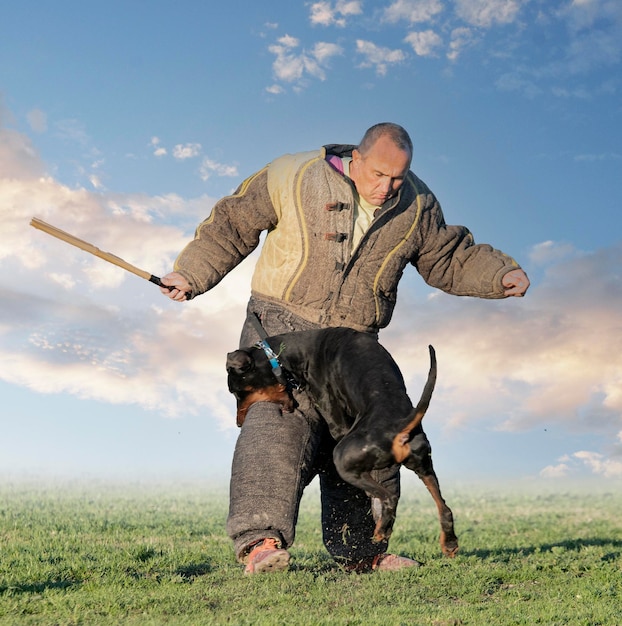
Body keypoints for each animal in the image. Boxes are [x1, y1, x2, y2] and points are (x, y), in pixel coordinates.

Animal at [227, 324, 460, 552]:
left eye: (238, 393)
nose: (238, 423)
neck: (294, 351)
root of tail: (400, 427)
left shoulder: (334, 419)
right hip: (423, 464)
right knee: (445, 508)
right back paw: (449, 543)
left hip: (343, 459)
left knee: (390, 497)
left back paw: (381, 531)